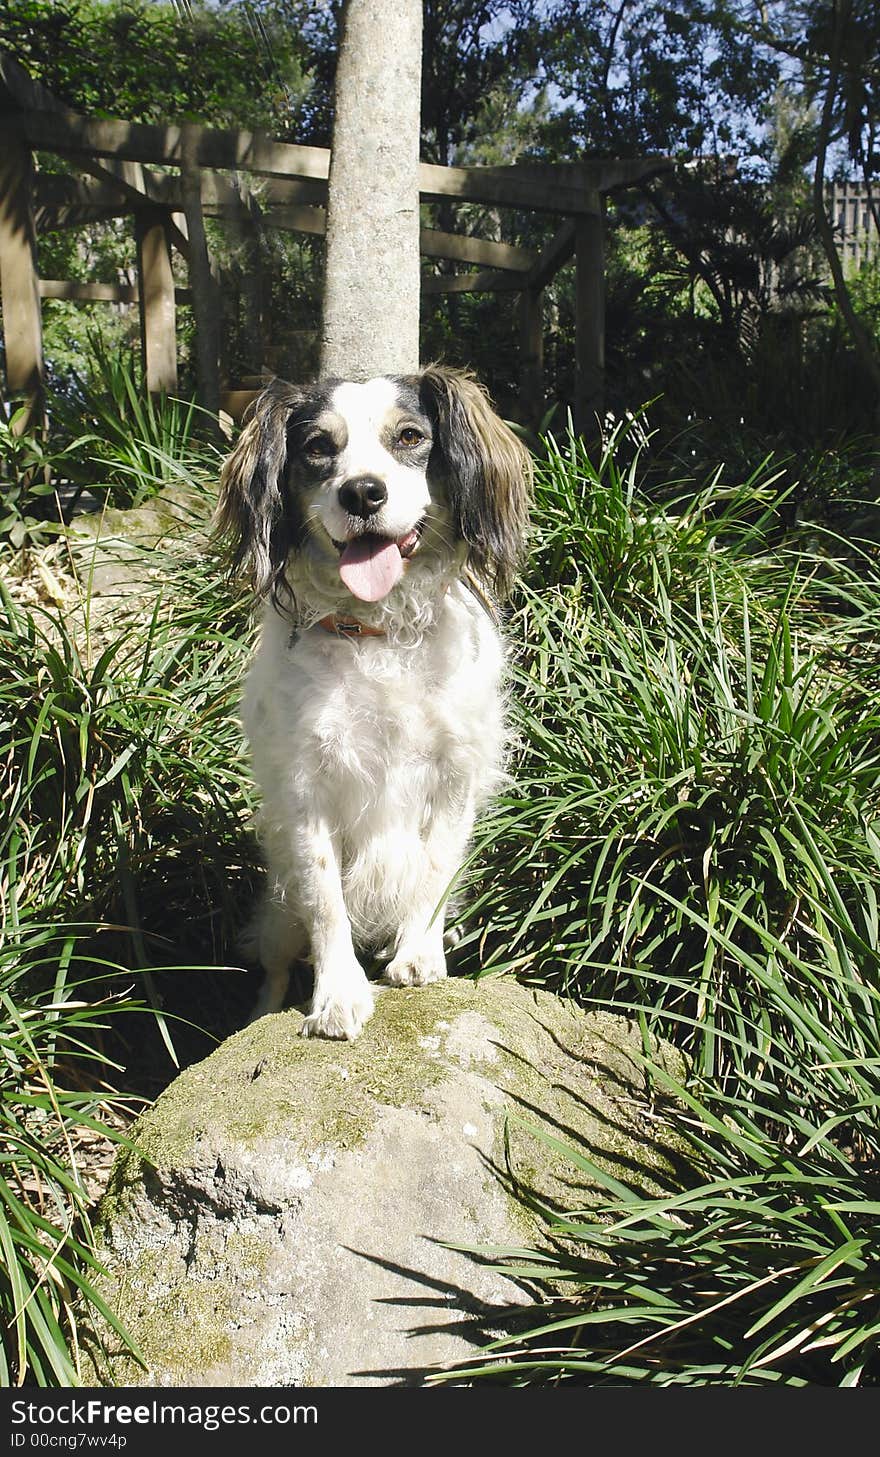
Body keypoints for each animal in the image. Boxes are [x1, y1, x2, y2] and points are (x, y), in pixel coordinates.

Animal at [217, 370, 533, 1043]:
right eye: (317, 447)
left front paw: (417, 953)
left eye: (409, 436)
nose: (362, 492)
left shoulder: (454, 774)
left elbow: (435, 868)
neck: (377, 633)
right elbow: (327, 901)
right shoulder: (303, 788)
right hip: (278, 913)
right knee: (276, 966)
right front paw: (338, 994)